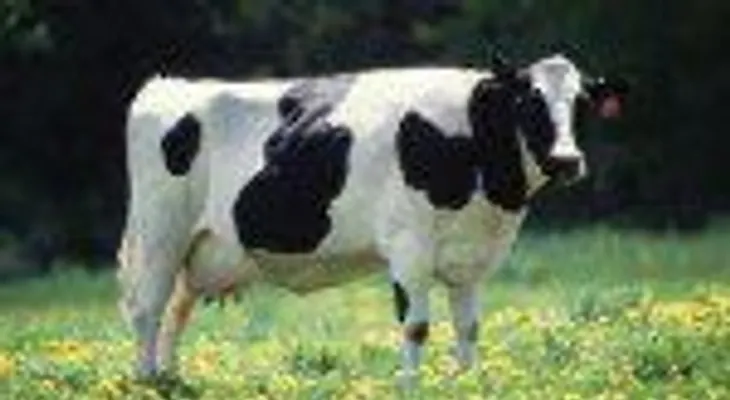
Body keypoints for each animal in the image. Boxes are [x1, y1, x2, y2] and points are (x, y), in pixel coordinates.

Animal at [117, 54, 627, 381]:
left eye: (581, 104)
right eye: (527, 102)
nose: (566, 160)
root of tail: (167, 83)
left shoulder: (470, 258)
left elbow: (469, 329)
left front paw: (468, 383)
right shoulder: (409, 248)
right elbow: (416, 328)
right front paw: (410, 387)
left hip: (200, 248)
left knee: (177, 311)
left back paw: (170, 380)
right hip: (161, 232)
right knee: (147, 309)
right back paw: (146, 379)